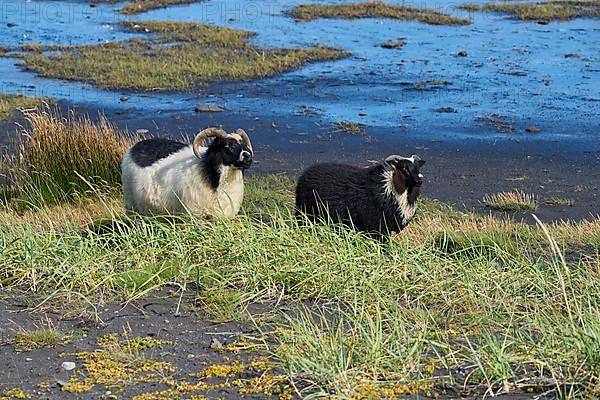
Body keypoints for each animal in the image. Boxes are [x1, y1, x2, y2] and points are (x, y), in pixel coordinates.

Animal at [122, 127, 253, 216]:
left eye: (244, 144)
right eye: (227, 146)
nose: (248, 157)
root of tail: (133, 148)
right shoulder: (196, 214)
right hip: (131, 204)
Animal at [296, 155, 426, 238]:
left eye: (418, 168)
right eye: (404, 168)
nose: (419, 180)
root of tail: (307, 172)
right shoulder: (378, 229)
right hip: (305, 213)